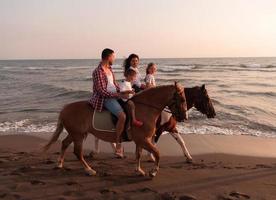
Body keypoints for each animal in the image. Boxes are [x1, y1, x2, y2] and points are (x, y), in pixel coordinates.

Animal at [43, 82, 188, 177]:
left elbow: (138, 154)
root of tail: (65, 109)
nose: (184, 117)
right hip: (78, 135)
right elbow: (157, 153)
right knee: (77, 152)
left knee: (64, 143)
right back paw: (89, 170)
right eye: (181, 99)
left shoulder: (141, 140)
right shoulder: (144, 139)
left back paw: (59, 164)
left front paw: (138, 170)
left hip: (76, 133)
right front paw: (153, 171)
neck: (145, 109)